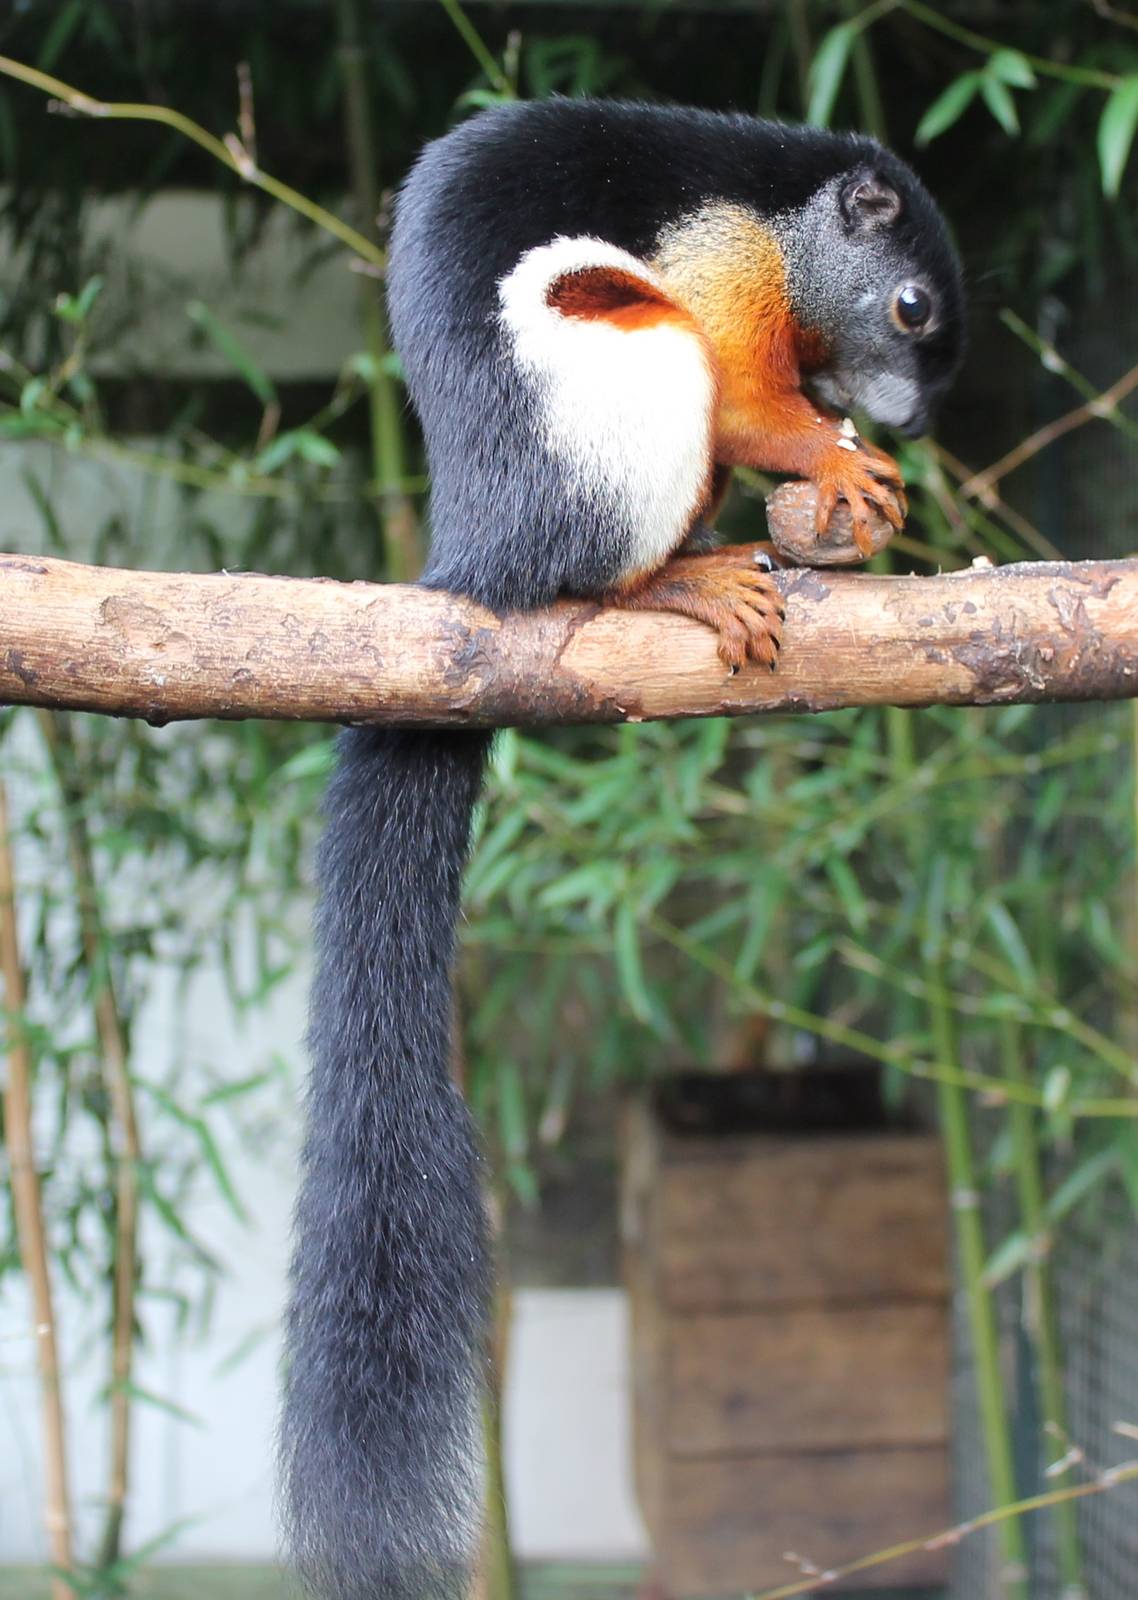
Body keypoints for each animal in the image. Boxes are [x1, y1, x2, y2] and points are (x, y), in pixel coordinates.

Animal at [279, 98, 964, 1600]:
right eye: (909, 308)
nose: (906, 420)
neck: (789, 213)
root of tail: (481, 546)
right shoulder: (721, 259)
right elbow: (751, 393)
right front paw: (838, 458)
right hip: (620, 374)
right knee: (609, 539)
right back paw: (682, 580)